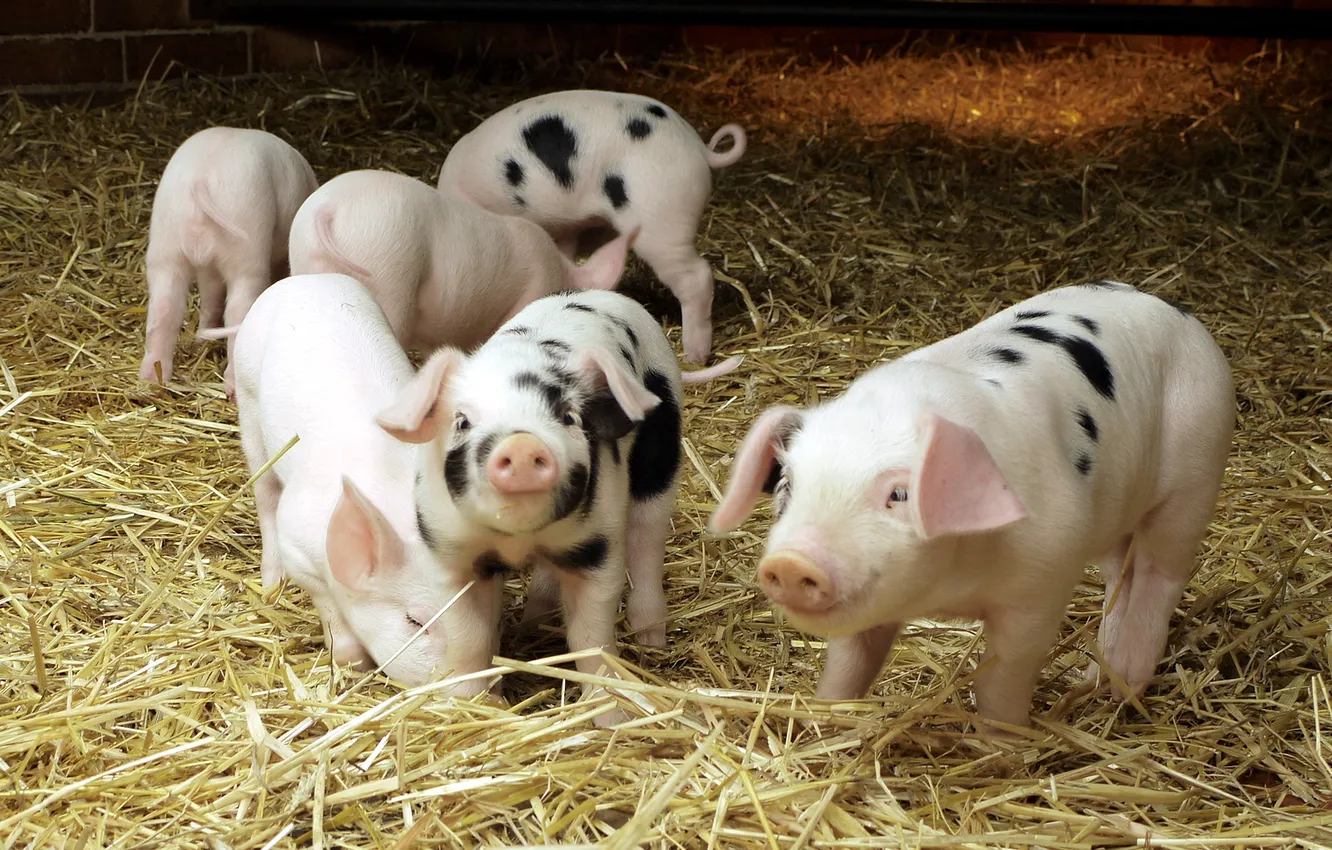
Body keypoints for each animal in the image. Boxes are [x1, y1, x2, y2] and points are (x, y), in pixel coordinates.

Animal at [139, 127, 318, 392]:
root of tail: (201, 179)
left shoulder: (207, 265)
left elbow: (211, 294)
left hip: (165, 245)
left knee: (165, 308)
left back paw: (153, 378)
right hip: (247, 245)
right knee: (237, 311)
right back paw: (233, 386)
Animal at [223, 272, 478, 691]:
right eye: (415, 621)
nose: (481, 697)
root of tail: (305, 278)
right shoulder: (300, 546)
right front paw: (350, 664)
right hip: (248, 400)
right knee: (265, 494)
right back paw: (271, 584)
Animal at [375, 290, 742, 724]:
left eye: (569, 416)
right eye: (462, 421)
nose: (521, 444)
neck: (521, 539)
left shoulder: (598, 548)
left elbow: (591, 637)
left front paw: (611, 718)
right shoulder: (450, 553)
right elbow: (470, 637)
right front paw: (469, 705)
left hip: (660, 455)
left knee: (647, 541)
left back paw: (651, 639)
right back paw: (534, 622)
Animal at [709, 281, 1235, 729]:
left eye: (900, 494)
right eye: (788, 485)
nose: (791, 562)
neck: (950, 587)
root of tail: (1172, 308)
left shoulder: (1041, 583)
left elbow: (1001, 678)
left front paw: (1003, 747)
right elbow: (848, 665)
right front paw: (826, 720)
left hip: (1196, 469)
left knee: (1160, 573)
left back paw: (1124, 687)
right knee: (1117, 574)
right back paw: (1093, 679)